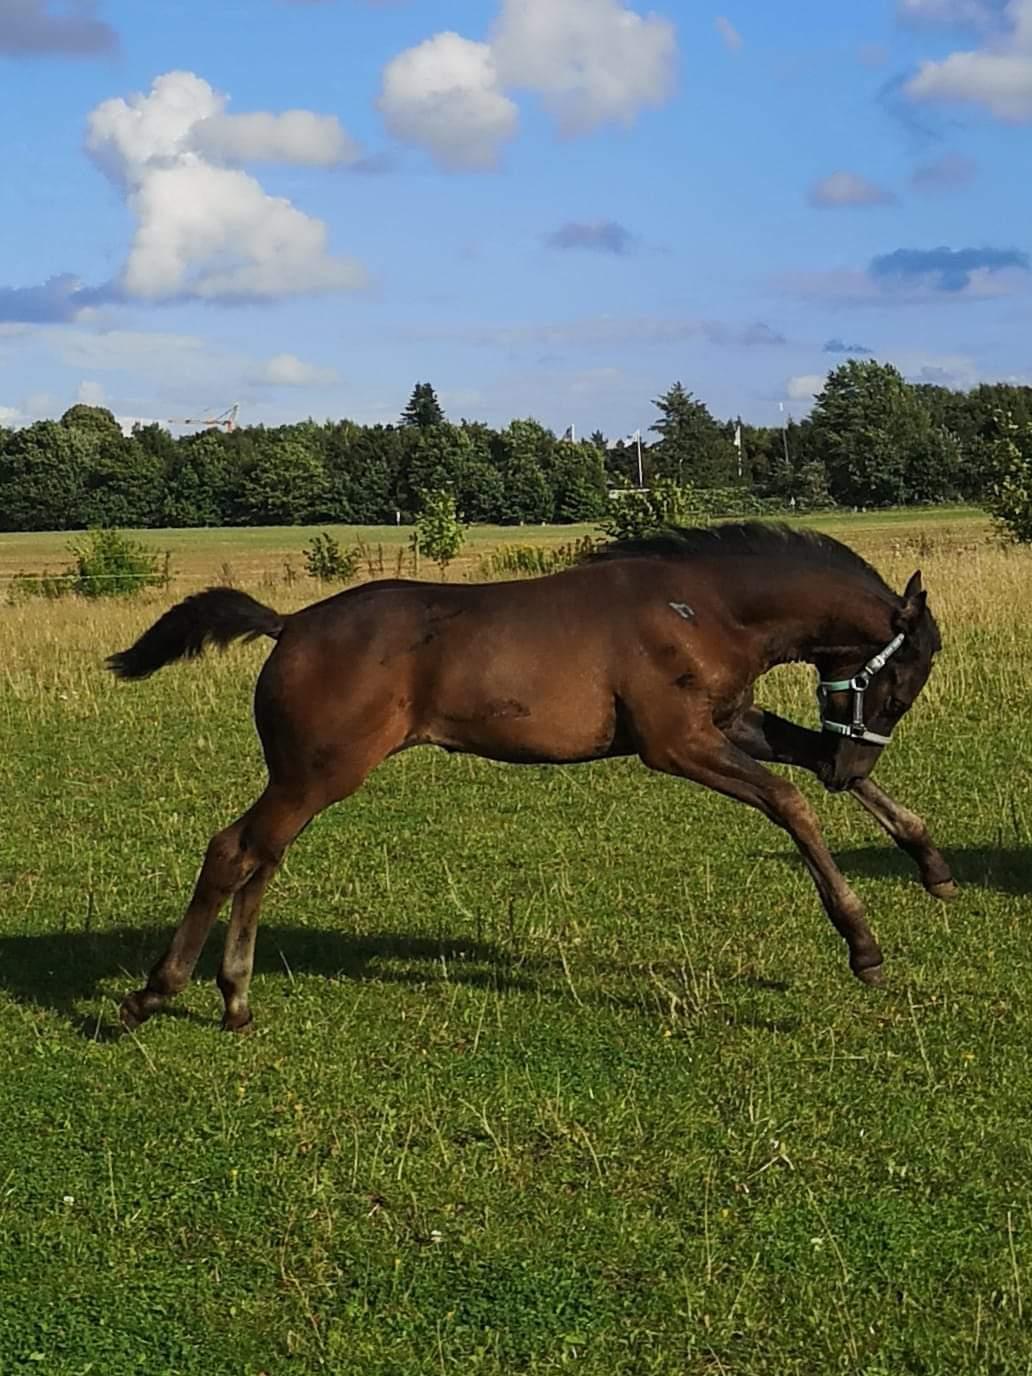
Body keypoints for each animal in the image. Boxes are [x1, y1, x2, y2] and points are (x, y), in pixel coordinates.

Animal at [107, 520, 952, 1029]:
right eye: (898, 689)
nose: (852, 761)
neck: (700, 607)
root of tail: (288, 625)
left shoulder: (729, 721)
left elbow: (802, 760)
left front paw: (930, 862)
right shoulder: (675, 742)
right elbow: (788, 800)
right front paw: (863, 944)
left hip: (305, 778)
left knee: (262, 859)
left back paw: (235, 998)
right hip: (318, 773)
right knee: (234, 850)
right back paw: (156, 990)